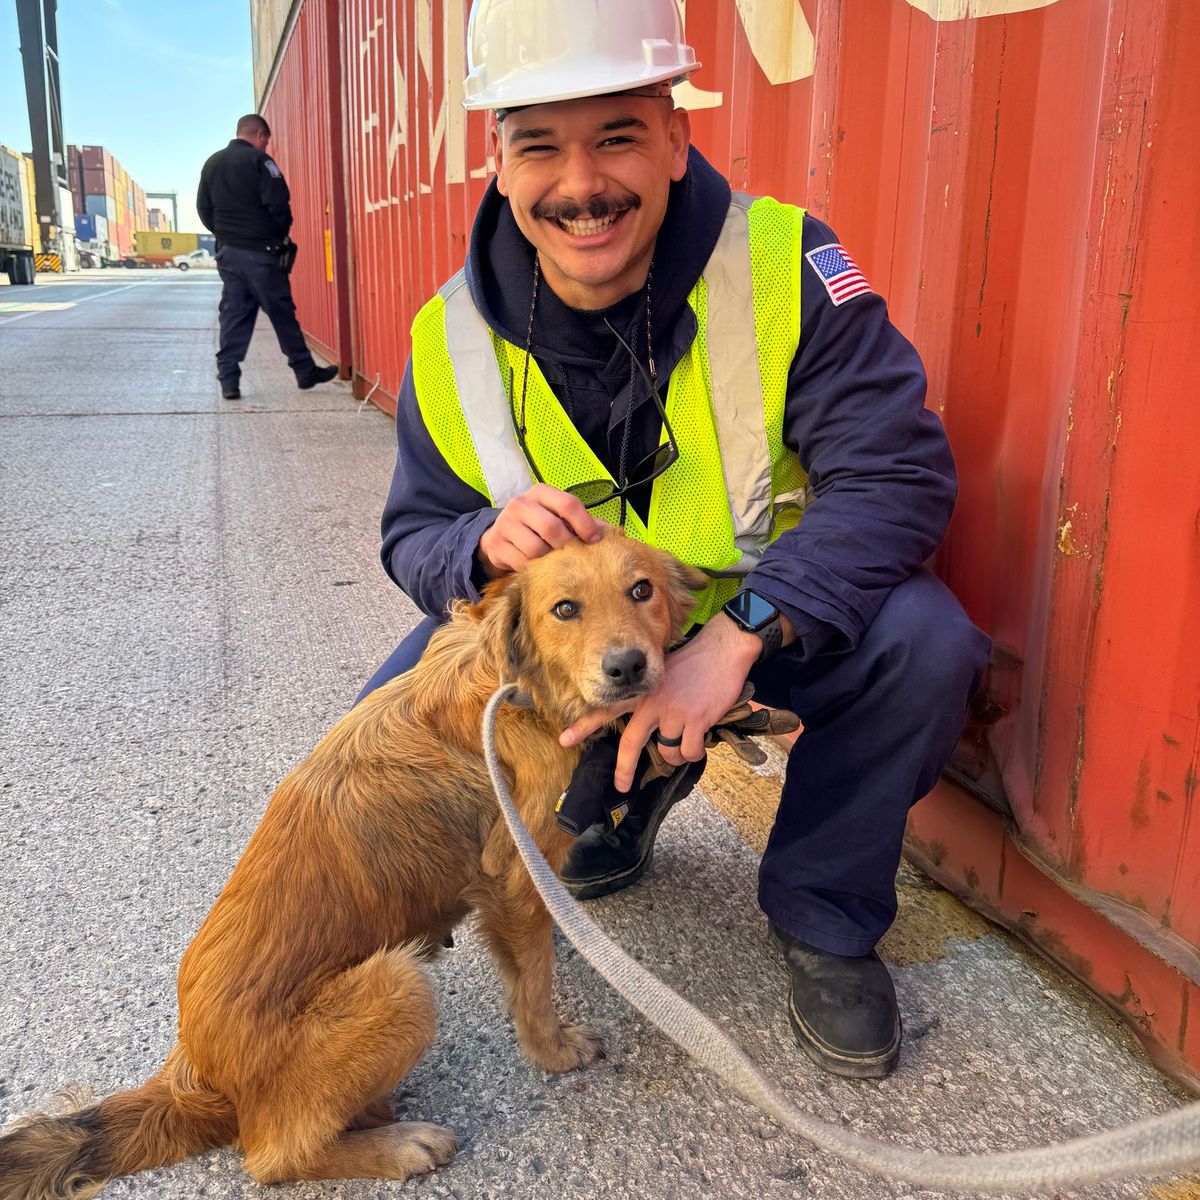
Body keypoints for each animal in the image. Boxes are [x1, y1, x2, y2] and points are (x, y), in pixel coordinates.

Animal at [0, 530, 705, 1195]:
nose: (628, 667)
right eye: (564, 609)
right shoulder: (517, 881)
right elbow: (533, 984)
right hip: (399, 986)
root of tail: (197, 1078)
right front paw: (554, 1052)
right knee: (271, 1158)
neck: (513, 688)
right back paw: (397, 1146)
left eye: (642, 590)